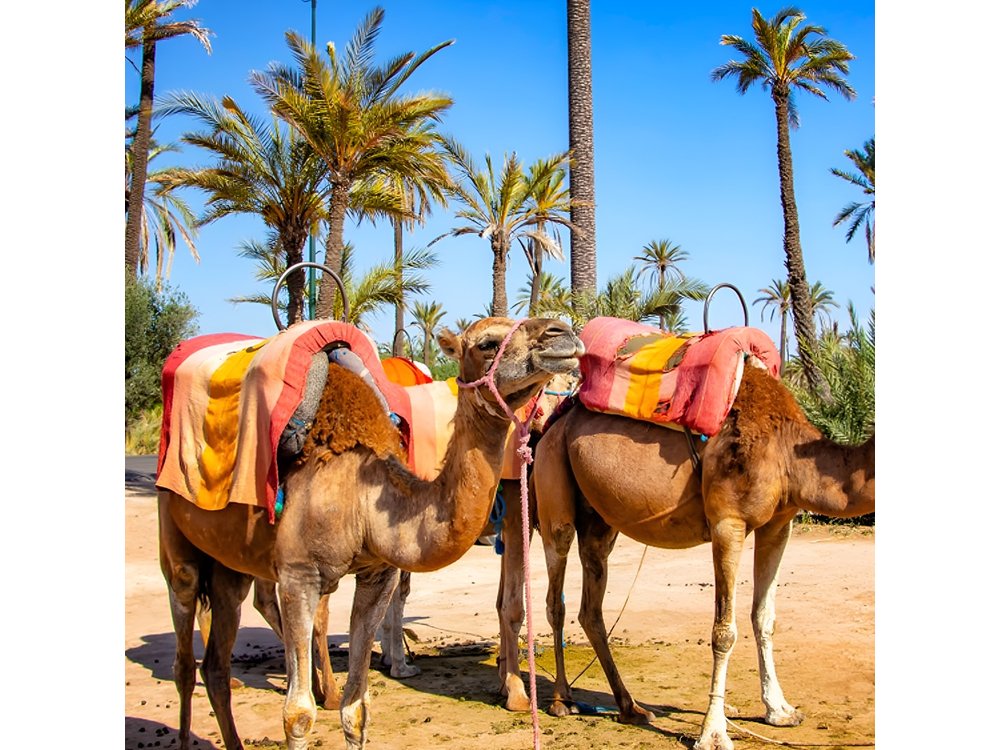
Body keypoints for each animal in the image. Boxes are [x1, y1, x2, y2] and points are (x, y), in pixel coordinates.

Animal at [158, 316, 584, 750]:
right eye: (487, 343)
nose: (562, 332)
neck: (360, 497)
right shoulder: (298, 576)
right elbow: (297, 715)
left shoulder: (377, 574)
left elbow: (357, 709)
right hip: (175, 535)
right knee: (184, 653)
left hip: (230, 565)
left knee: (216, 663)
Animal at [496, 363, 874, 750]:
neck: (785, 447)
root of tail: (551, 425)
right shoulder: (727, 521)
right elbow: (724, 631)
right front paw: (713, 733)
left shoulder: (779, 524)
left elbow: (764, 618)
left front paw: (780, 711)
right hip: (553, 487)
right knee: (555, 596)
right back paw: (563, 700)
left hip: (599, 520)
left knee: (591, 607)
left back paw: (631, 707)